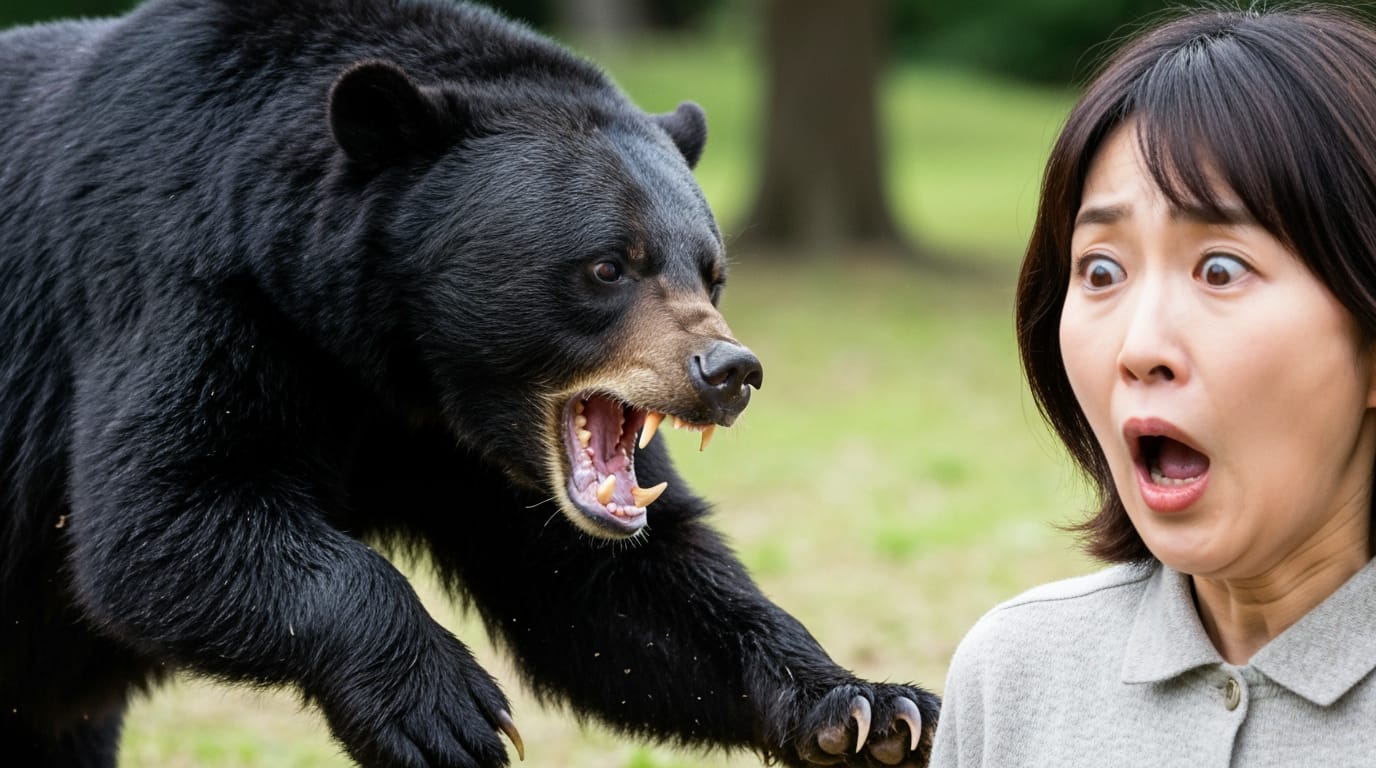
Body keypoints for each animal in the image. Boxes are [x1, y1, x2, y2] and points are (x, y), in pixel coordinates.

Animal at [0, 0, 939, 766]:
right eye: (609, 265)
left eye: (711, 274)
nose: (729, 372)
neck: (402, 361)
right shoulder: (187, 285)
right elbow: (163, 513)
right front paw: (446, 708)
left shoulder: (471, 462)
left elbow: (616, 596)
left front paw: (870, 707)